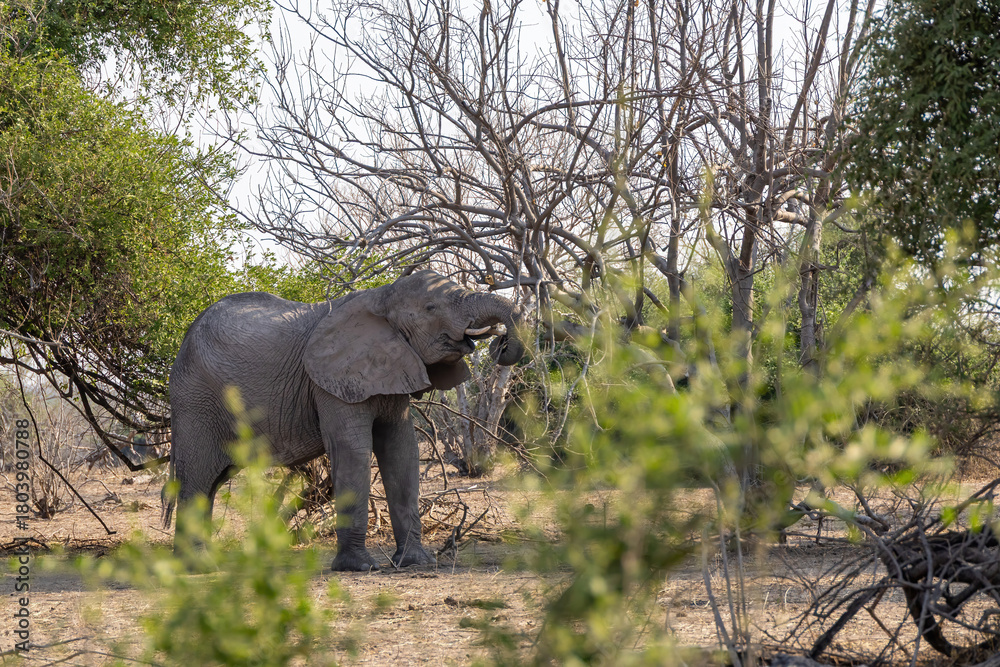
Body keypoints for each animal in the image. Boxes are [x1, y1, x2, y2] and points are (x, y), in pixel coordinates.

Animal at [164, 269, 524, 571]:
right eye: (431, 307)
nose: (500, 342)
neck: (381, 296)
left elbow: (401, 449)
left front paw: (416, 563)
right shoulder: (330, 382)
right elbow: (353, 450)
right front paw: (360, 568)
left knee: (212, 483)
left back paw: (199, 564)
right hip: (196, 401)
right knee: (198, 478)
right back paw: (197, 568)